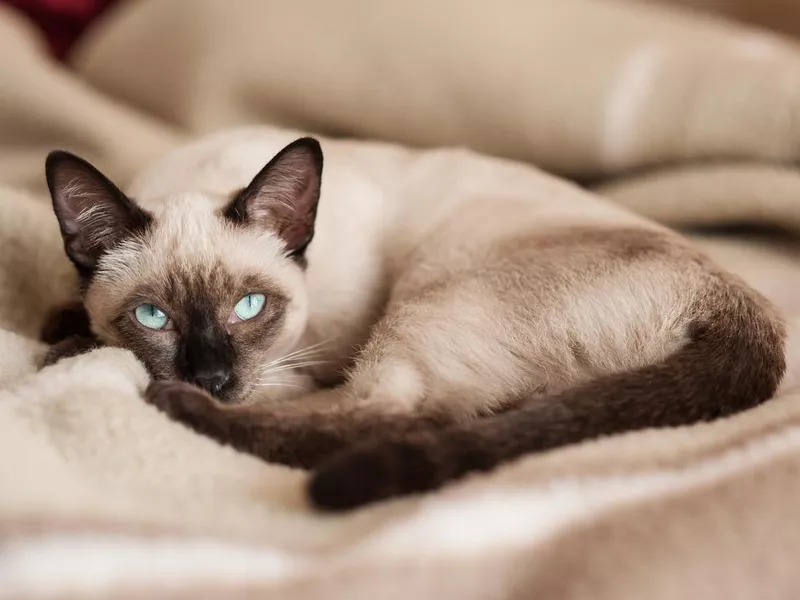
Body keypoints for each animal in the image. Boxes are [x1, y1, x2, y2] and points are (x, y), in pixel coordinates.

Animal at [40, 127, 784, 510]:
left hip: (431, 298)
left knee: (398, 417)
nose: (212, 377)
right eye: (152, 315)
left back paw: (179, 406)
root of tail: (734, 295)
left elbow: (304, 392)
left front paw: (73, 349)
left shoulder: (300, 361)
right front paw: (62, 326)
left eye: (250, 307)